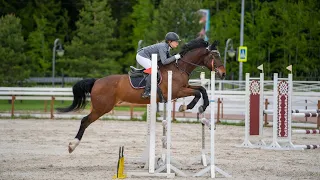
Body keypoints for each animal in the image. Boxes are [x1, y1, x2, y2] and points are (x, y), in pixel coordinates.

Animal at [57, 38, 225, 153]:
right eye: (215, 57)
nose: (223, 74)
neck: (179, 67)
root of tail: (96, 81)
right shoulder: (176, 92)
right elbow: (196, 92)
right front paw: (186, 107)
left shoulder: (184, 87)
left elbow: (201, 89)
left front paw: (201, 105)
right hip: (102, 108)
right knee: (85, 121)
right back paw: (72, 145)